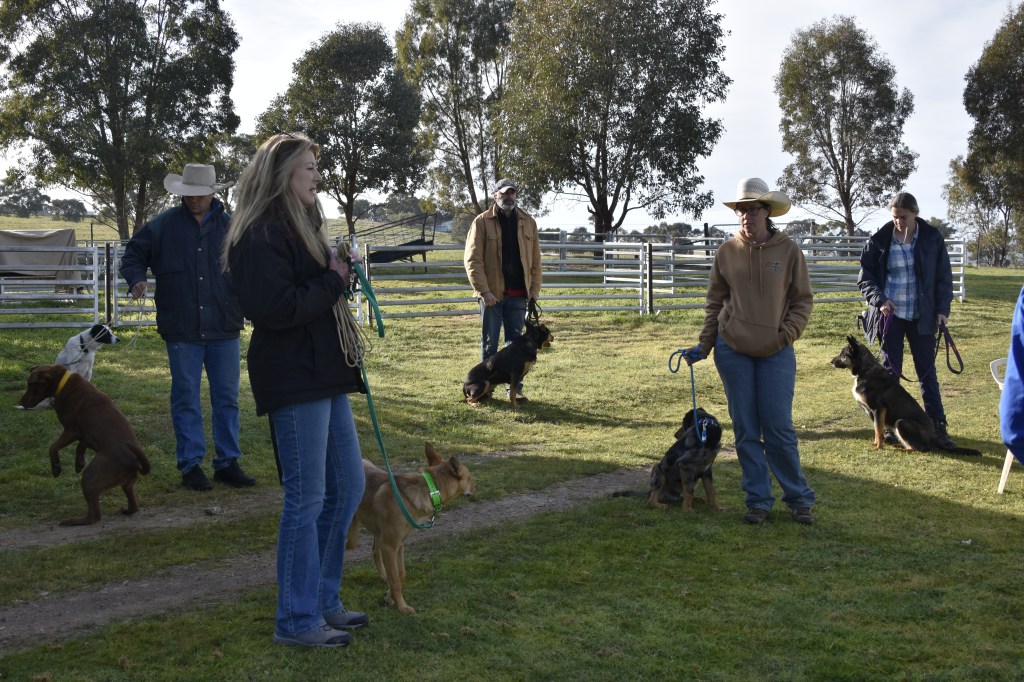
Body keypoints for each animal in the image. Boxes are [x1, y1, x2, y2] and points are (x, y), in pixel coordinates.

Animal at [17, 364, 151, 526]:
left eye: (31, 385)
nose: (21, 403)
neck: (62, 383)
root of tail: (134, 461)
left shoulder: (71, 431)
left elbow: (53, 447)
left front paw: (56, 468)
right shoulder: (84, 435)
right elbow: (80, 447)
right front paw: (79, 463)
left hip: (90, 478)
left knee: (95, 516)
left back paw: (73, 521)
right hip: (127, 485)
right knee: (133, 506)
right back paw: (127, 510)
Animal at [345, 442, 475, 614]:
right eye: (470, 477)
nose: (475, 487)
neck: (431, 490)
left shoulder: (399, 545)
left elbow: (400, 575)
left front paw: (389, 597)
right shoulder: (390, 546)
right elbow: (395, 581)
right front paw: (402, 607)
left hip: (377, 532)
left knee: (374, 550)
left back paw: (382, 575)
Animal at [830, 335, 981, 455]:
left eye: (843, 355)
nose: (831, 362)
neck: (865, 369)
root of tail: (934, 438)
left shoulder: (879, 409)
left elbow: (878, 431)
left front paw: (878, 447)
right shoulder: (874, 412)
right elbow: (876, 430)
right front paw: (876, 444)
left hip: (901, 423)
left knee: (920, 449)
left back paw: (902, 449)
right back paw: (899, 446)